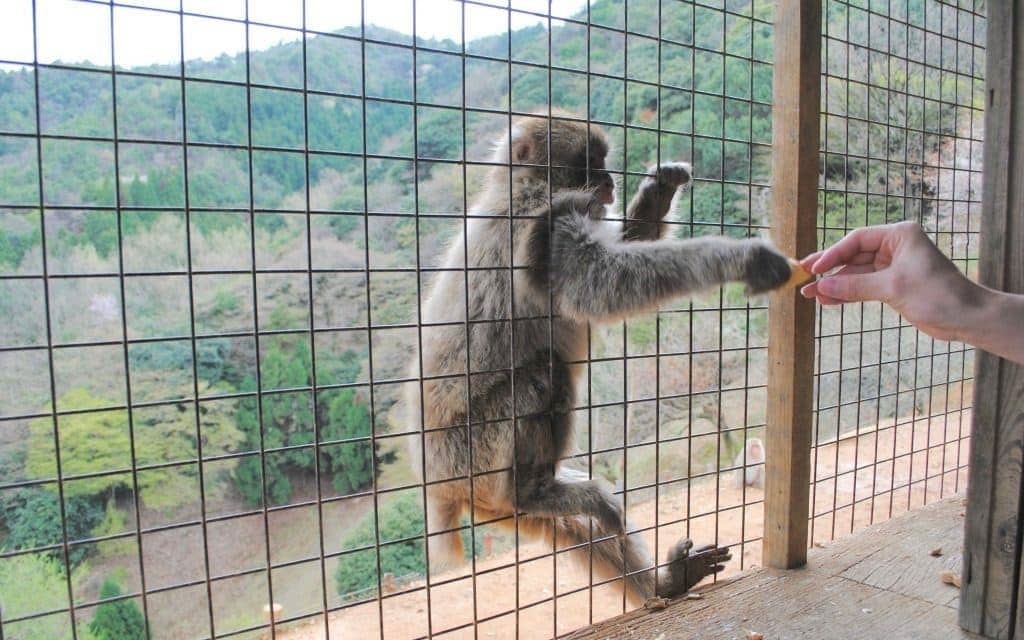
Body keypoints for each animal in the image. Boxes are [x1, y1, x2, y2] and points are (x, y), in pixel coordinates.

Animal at [406, 112, 792, 607]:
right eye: (590, 162)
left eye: (606, 161)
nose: (608, 181)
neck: (521, 185)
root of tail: (440, 488)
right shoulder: (543, 223)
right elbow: (602, 282)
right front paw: (739, 257)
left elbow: (626, 245)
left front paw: (659, 189)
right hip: (474, 452)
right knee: (543, 373)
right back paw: (533, 492)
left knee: (585, 523)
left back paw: (662, 583)